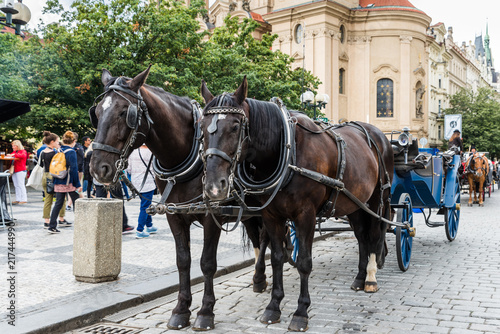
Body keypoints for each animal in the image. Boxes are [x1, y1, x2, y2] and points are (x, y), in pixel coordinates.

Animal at [90, 66, 270, 330]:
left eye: (125, 112)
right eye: (97, 112)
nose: (97, 169)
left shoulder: (211, 217)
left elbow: (207, 263)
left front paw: (205, 312)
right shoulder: (174, 216)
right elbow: (183, 260)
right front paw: (181, 310)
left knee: (268, 238)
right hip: (246, 212)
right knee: (258, 239)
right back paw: (259, 279)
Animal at [199, 77, 394, 332]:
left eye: (234, 126)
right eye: (202, 128)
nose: (214, 186)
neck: (287, 152)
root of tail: (377, 134)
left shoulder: (305, 215)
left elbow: (303, 262)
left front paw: (301, 312)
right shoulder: (271, 215)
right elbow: (277, 258)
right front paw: (273, 306)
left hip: (377, 199)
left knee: (375, 234)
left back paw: (370, 277)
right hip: (354, 204)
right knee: (362, 236)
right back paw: (360, 277)